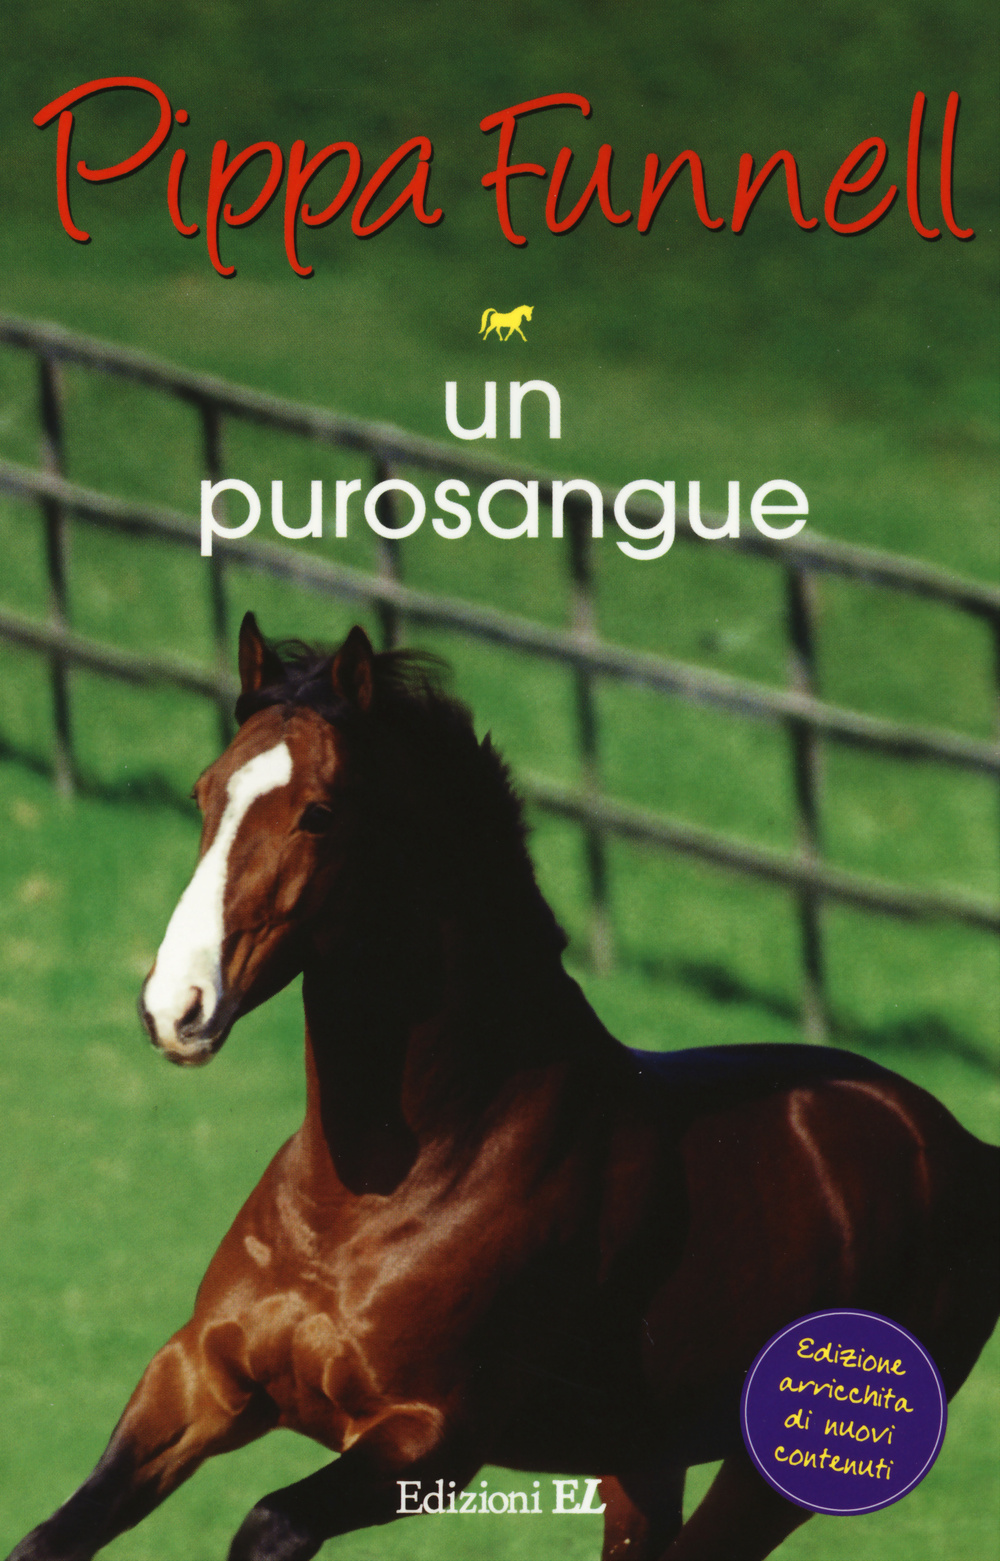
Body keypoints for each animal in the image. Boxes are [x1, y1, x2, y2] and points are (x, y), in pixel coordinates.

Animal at [8, 615, 998, 1561]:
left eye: (318, 812)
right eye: (205, 792)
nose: (176, 1006)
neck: (389, 1184)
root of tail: (959, 1146)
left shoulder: (430, 1439)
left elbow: (269, 1523)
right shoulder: (201, 1377)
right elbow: (53, 1535)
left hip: (772, 1480)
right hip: (643, 1459)